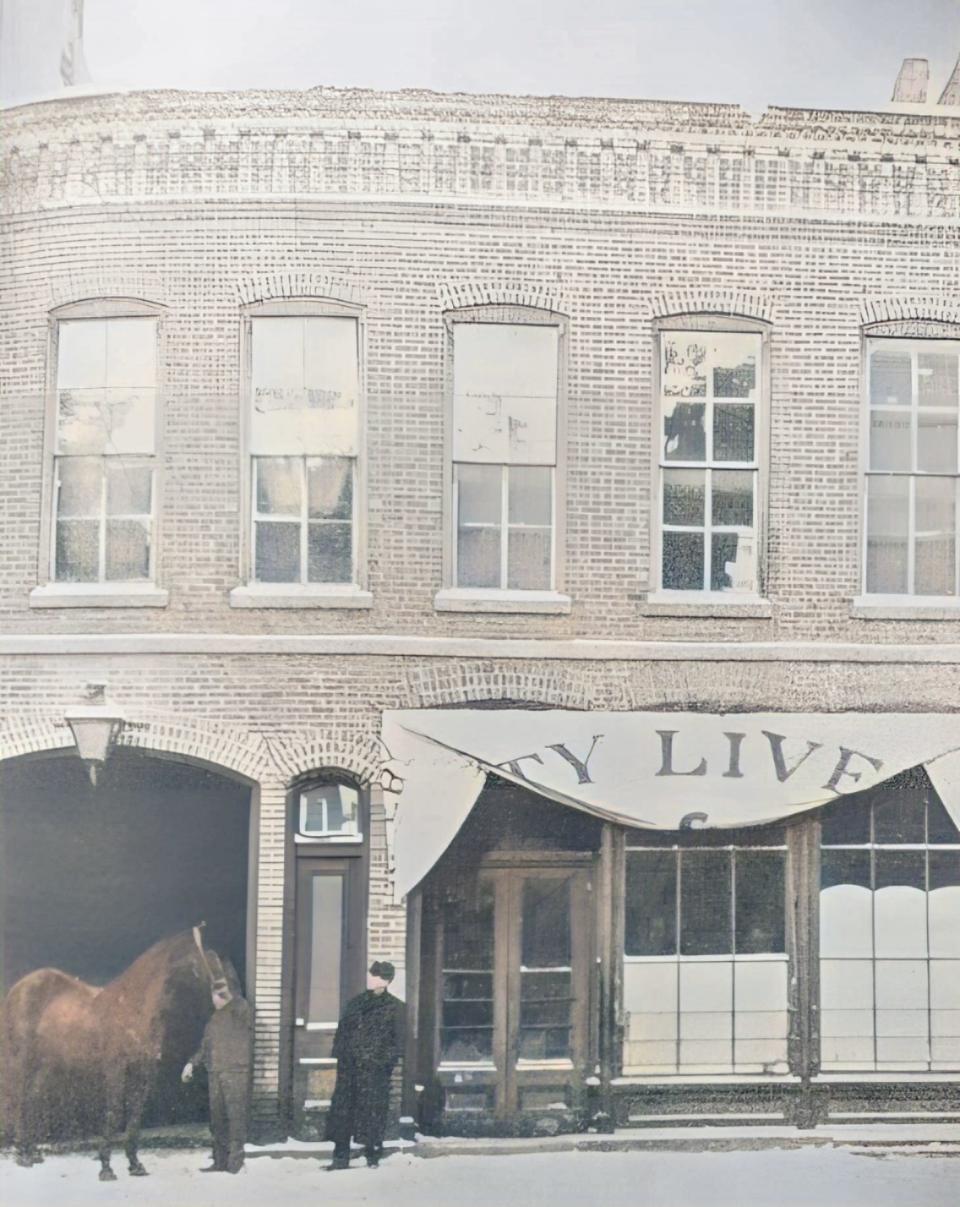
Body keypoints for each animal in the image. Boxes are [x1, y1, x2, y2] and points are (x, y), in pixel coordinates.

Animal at [1, 931, 214, 1178]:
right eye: (196, 957)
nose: (218, 994)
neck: (134, 1007)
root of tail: (19, 987)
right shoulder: (115, 1069)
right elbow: (114, 1113)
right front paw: (106, 1167)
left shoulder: (143, 1073)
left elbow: (135, 1115)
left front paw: (135, 1164)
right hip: (22, 1061)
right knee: (20, 1100)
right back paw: (22, 1155)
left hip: (44, 1064)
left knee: (33, 1099)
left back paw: (33, 1153)